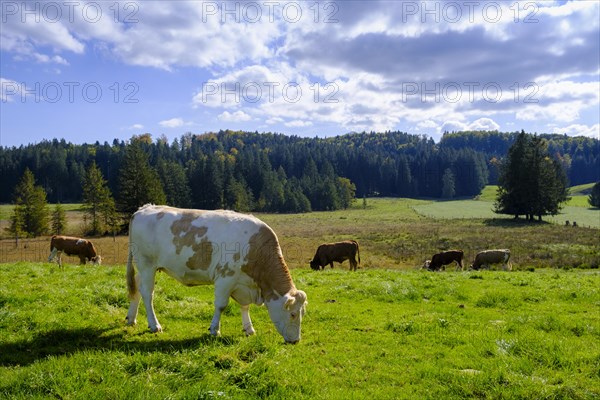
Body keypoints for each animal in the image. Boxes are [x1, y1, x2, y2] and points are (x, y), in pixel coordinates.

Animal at [125, 206, 308, 344]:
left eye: (302, 313)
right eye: (292, 314)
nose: (296, 341)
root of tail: (145, 208)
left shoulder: (243, 283)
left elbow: (245, 306)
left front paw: (249, 328)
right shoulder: (225, 278)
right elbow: (221, 305)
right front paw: (214, 329)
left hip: (145, 268)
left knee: (138, 288)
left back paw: (131, 318)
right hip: (147, 264)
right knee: (147, 294)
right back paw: (154, 325)